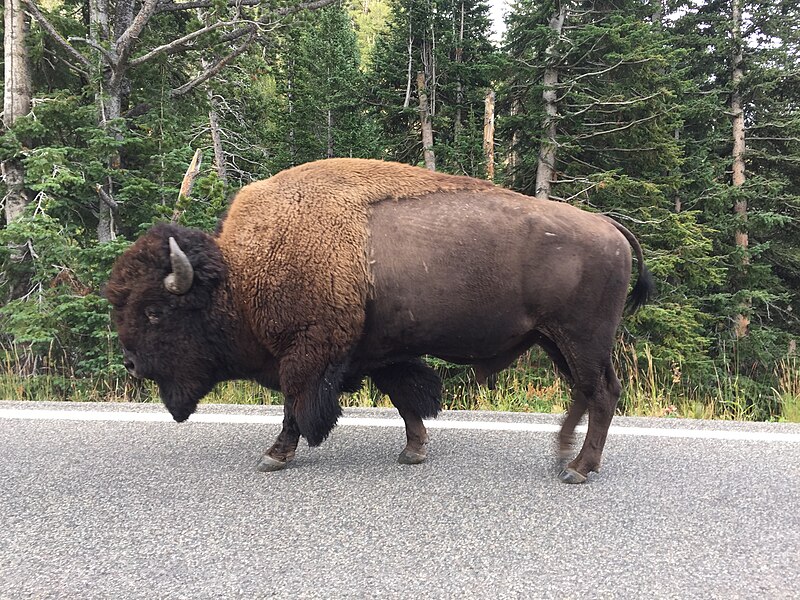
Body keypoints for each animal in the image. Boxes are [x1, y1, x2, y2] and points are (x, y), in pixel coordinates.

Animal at [106, 158, 652, 482]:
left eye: (154, 311)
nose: (130, 363)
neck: (240, 274)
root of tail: (610, 227)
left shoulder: (310, 351)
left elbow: (295, 405)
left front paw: (274, 456)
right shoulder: (380, 352)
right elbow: (406, 397)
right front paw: (414, 452)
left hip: (581, 339)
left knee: (602, 393)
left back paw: (578, 468)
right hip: (554, 340)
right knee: (586, 392)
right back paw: (562, 455)